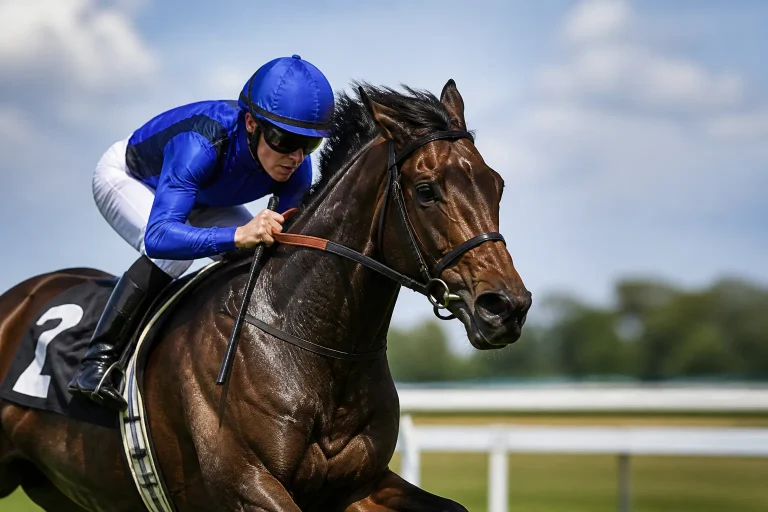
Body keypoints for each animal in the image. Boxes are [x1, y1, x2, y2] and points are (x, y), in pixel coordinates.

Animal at [0, 80, 531, 511]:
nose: (506, 306)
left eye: (497, 184)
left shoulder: (357, 485)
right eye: (426, 190)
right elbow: (161, 233)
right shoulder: (247, 487)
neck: (310, 343)